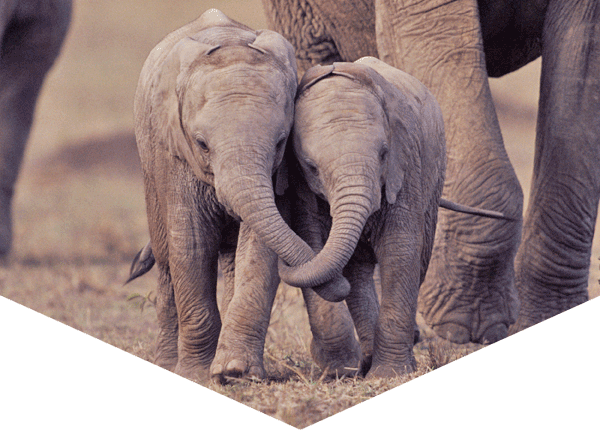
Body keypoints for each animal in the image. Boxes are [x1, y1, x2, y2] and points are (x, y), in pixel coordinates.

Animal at [280, 57, 506, 376]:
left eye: (384, 154)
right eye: (311, 167)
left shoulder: (407, 162)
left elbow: (399, 250)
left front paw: (391, 374)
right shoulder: (301, 188)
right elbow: (312, 244)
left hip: (433, 177)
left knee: (418, 257)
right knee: (358, 269)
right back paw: (368, 357)